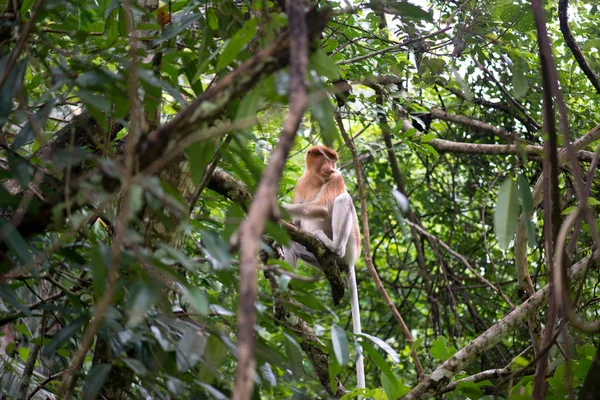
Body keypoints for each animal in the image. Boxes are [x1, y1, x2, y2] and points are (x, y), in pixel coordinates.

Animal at [282, 145, 366, 390]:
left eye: (334, 161)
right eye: (327, 158)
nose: (332, 167)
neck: (315, 179)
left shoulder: (336, 179)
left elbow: (324, 206)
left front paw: (278, 206)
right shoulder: (301, 184)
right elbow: (294, 226)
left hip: (352, 245)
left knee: (342, 200)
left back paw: (333, 246)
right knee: (294, 244)